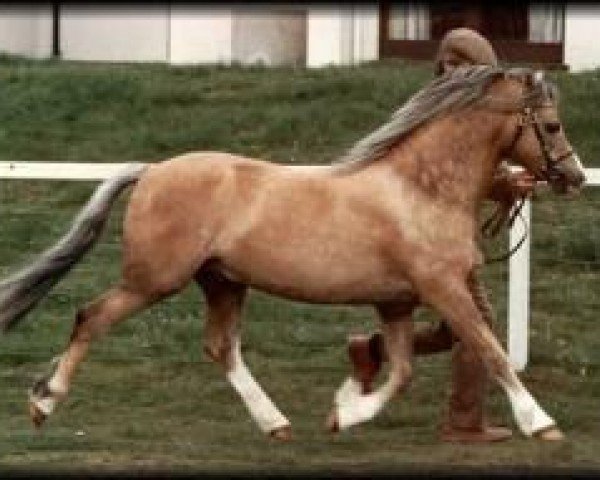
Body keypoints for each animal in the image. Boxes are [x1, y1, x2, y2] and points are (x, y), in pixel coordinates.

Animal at [0, 64, 584, 442]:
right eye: (552, 125)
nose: (575, 177)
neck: (422, 189)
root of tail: (151, 171)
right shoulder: (442, 290)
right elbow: (492, 351)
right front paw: (542, 424)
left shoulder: (397, 301)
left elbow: (401, 371)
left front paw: (343, 413)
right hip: (153, 281)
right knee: (90, 317)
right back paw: (43, 403)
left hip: (223, 282)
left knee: (221, 348)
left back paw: (275, 424)